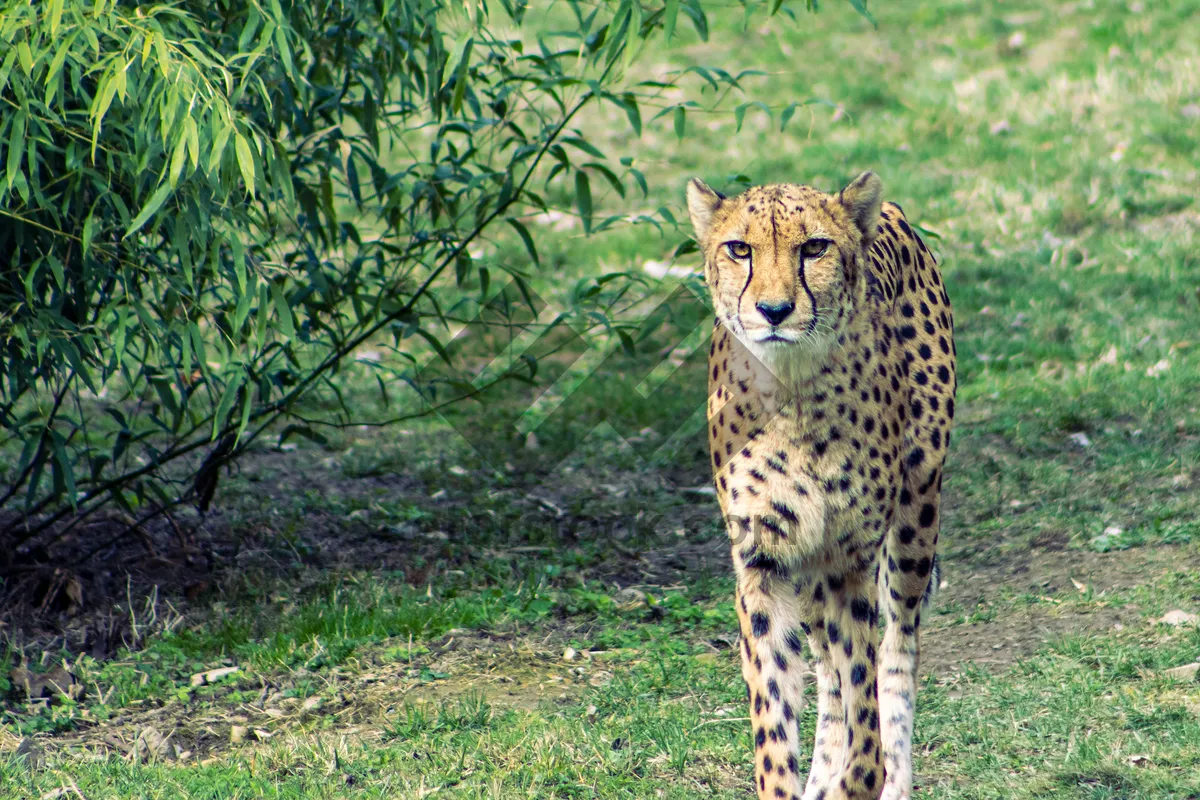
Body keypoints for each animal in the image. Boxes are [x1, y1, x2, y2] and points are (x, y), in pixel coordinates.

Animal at [686, 170, 955, 800]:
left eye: (814, 248)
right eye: (740, 249)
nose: (774, 310)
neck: (792, 390)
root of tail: (890, 211)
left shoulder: (849, 557)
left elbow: (865, 708)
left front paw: (861, 774)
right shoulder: (764, 559)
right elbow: (776, 714)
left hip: (915, 512)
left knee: (896, 648)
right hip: (809, 566)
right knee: (828, 669)